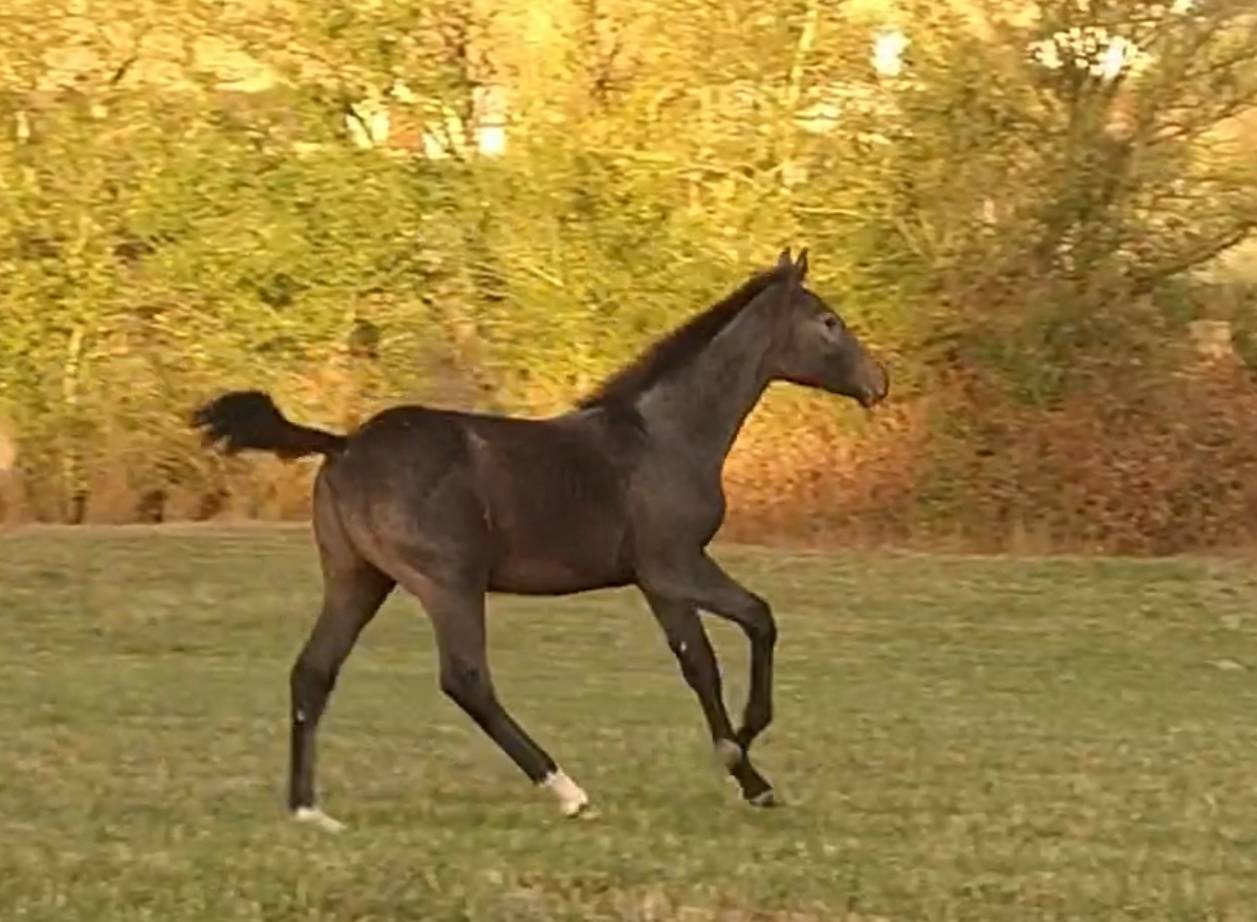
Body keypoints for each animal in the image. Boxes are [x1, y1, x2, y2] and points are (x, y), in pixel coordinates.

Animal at [192, 248, 889, 830]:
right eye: (828, 321)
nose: (878, 381)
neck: (662, 436)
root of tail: (341, 446)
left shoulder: (656, 581)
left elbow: (698, 664)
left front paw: (747, 774)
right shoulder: (676, 563)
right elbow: (759, 619)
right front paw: (744, 742)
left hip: (357, 577)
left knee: (313, 672)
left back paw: (309, 810)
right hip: (447, 582)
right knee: (466, 680)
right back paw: (568, 791)